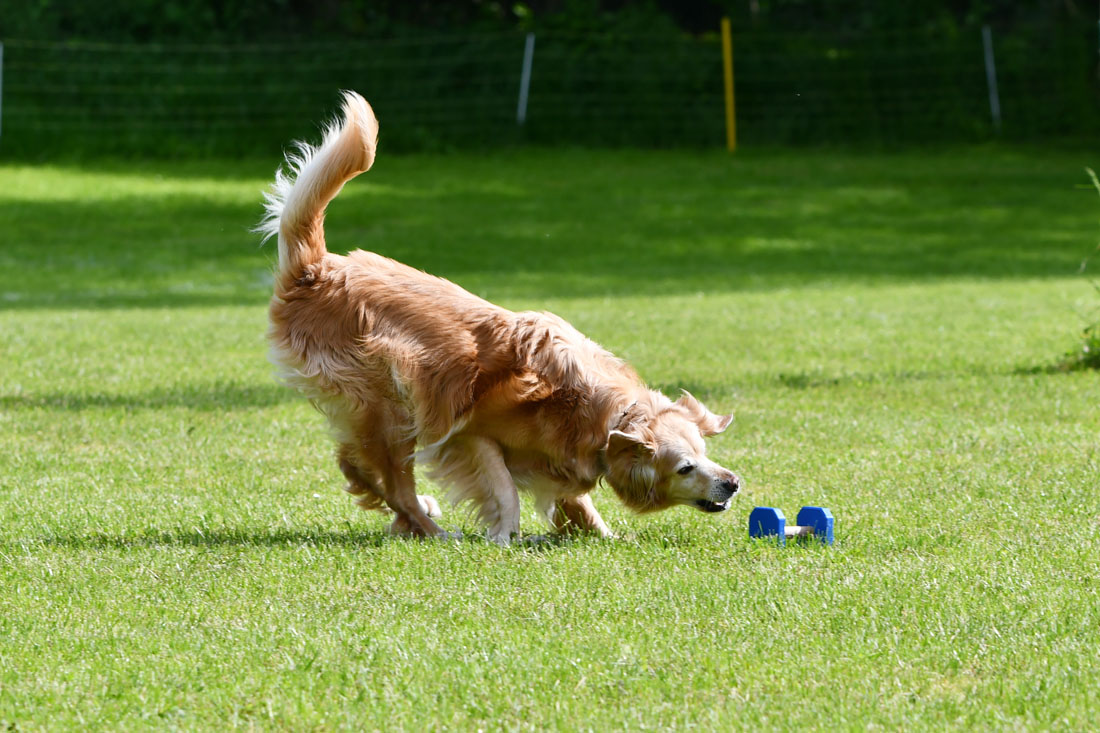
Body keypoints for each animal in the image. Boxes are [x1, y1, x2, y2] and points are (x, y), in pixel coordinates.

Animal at [257, 91, 739, 541]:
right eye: (685, 467)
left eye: (706, 453)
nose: (733, 483)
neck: (591, 409)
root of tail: (318, 270)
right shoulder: (469, 435)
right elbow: (505, 488)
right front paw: (505, 536)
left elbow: (577, 501)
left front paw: (603, 535)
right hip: (392, 409)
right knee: (395, 485)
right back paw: (434, 530)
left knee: (357, 467)